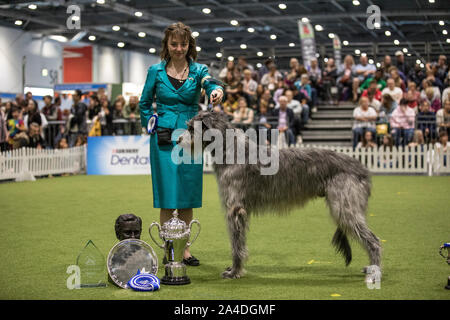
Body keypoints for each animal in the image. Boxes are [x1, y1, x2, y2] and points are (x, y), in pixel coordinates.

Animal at [178, 111, 382, 282]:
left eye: (191, 127)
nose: (178, 139)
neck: (231, 150)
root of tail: (363, 169)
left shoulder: (235, 209)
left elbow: (236, 244)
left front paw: (235, 272)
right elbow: (239, 241)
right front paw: (235, 269)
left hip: (345, 206)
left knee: (374, 241)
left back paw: (375, 271)